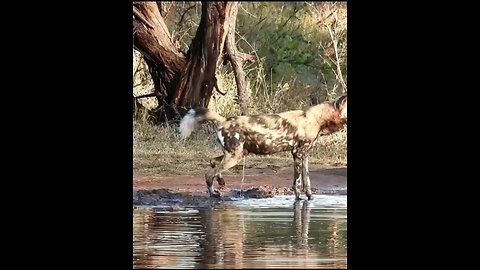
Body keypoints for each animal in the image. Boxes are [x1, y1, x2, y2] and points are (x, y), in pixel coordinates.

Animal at [178, 94, 346, 199]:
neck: (318, 118)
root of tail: (224, 120)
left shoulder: (304, 156)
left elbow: (307, 182)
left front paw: (310, 198)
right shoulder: (297, 154)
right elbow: (297, 183)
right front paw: (298, 199)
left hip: (237, 153)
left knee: (213, 162)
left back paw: (220, 182)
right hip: (235, 156)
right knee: (209, 174)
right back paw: (213, 194)